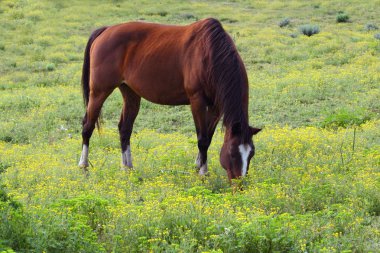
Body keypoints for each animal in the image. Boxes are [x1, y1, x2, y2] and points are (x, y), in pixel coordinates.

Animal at [78, 18, 262, 180]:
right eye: (232, 152)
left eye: (251, 153)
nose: (239, 184)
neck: (210, 54)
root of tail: (106, 30)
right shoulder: (197, 101)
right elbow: (202, 139)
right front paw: (203, 173)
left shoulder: (216, 106)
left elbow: (208, 138)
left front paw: (198, 167)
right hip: (99, 91)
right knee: (88, 126)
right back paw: (84, 167)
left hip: (130, 92)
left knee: (125, 129)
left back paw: (127, 168)